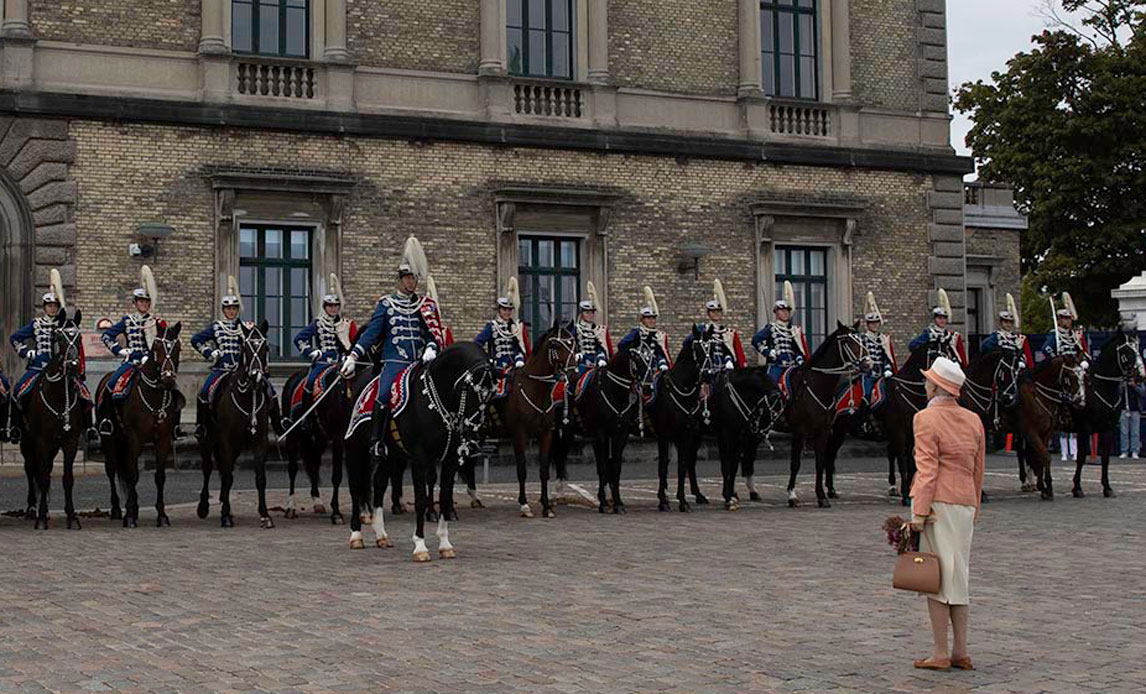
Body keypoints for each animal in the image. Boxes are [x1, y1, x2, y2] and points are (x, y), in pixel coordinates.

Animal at [21, 313, 87, 531]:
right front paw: (41, 518)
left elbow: (67, 478)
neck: (59, 396)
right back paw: (33, 509)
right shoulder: (41, 442)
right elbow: (42, 477)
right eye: (59, 338)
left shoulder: (70, 443)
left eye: (79, 338)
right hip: (28, 443)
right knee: (31, 469)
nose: (73, 366)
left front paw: (72, 516)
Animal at [97, 322, 183, 531]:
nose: (168, 379)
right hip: (109, 439)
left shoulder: (163, 440)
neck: (153, 396)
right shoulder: (134, 438)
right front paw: (129, 516)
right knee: (111, 469)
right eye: (157, 347)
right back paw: (117, 509)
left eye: (177, 348)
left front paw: (162, 515)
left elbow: (159, 476)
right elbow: (132, 475)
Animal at [194, 322, 272, 531]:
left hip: (235, 447)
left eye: (265, 347)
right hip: (207, 441)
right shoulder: (225, 441)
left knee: (223, 470)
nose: (256, 376)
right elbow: (228, 477)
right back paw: (204, 506)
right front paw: (225, 516)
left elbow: (260, 478)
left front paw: (265, 514)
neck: (248, 396)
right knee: (208, 469)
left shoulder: (260, 441)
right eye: (245, 347)